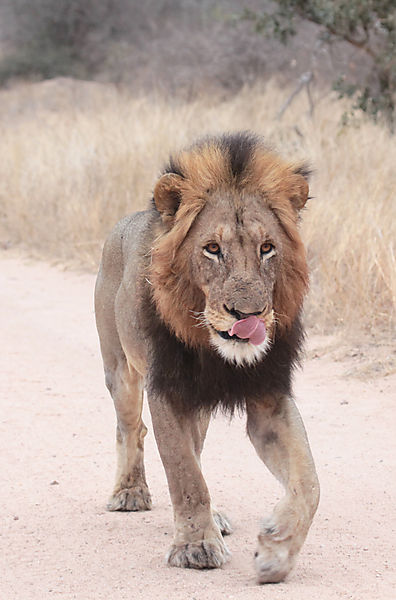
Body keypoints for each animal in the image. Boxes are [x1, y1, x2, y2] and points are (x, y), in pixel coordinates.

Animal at [94, 132, 320, 584]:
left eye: (267, 248)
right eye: (212, 249)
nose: (247, 316)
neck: (217, 353)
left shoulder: (269, 397)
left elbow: (309, 481)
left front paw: (276, 551)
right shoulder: (166, 390)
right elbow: (185, 475)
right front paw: (195, 547)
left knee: (194, 449)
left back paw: (214, 518)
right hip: (121, 371)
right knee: (131, 428)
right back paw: (129, 493)